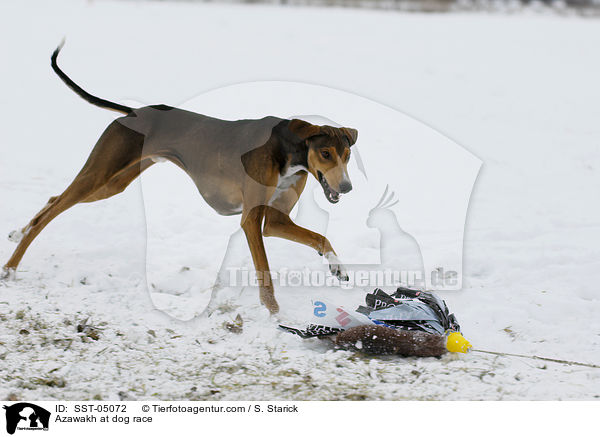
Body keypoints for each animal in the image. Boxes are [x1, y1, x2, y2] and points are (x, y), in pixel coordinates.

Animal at [2, 42, 356, 312]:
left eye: (347, 154)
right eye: (326, 153)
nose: (347, 186)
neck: (287, 152)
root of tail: (133, 112)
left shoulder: (275, 221)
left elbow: (319, 238)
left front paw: (337, 266)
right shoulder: (251, 220)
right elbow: (264, 271)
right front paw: (273, 311)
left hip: (112, 183)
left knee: (53, 198)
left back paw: (18, 233)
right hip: (99, 174)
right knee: (52, 210)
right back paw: (11, 266)